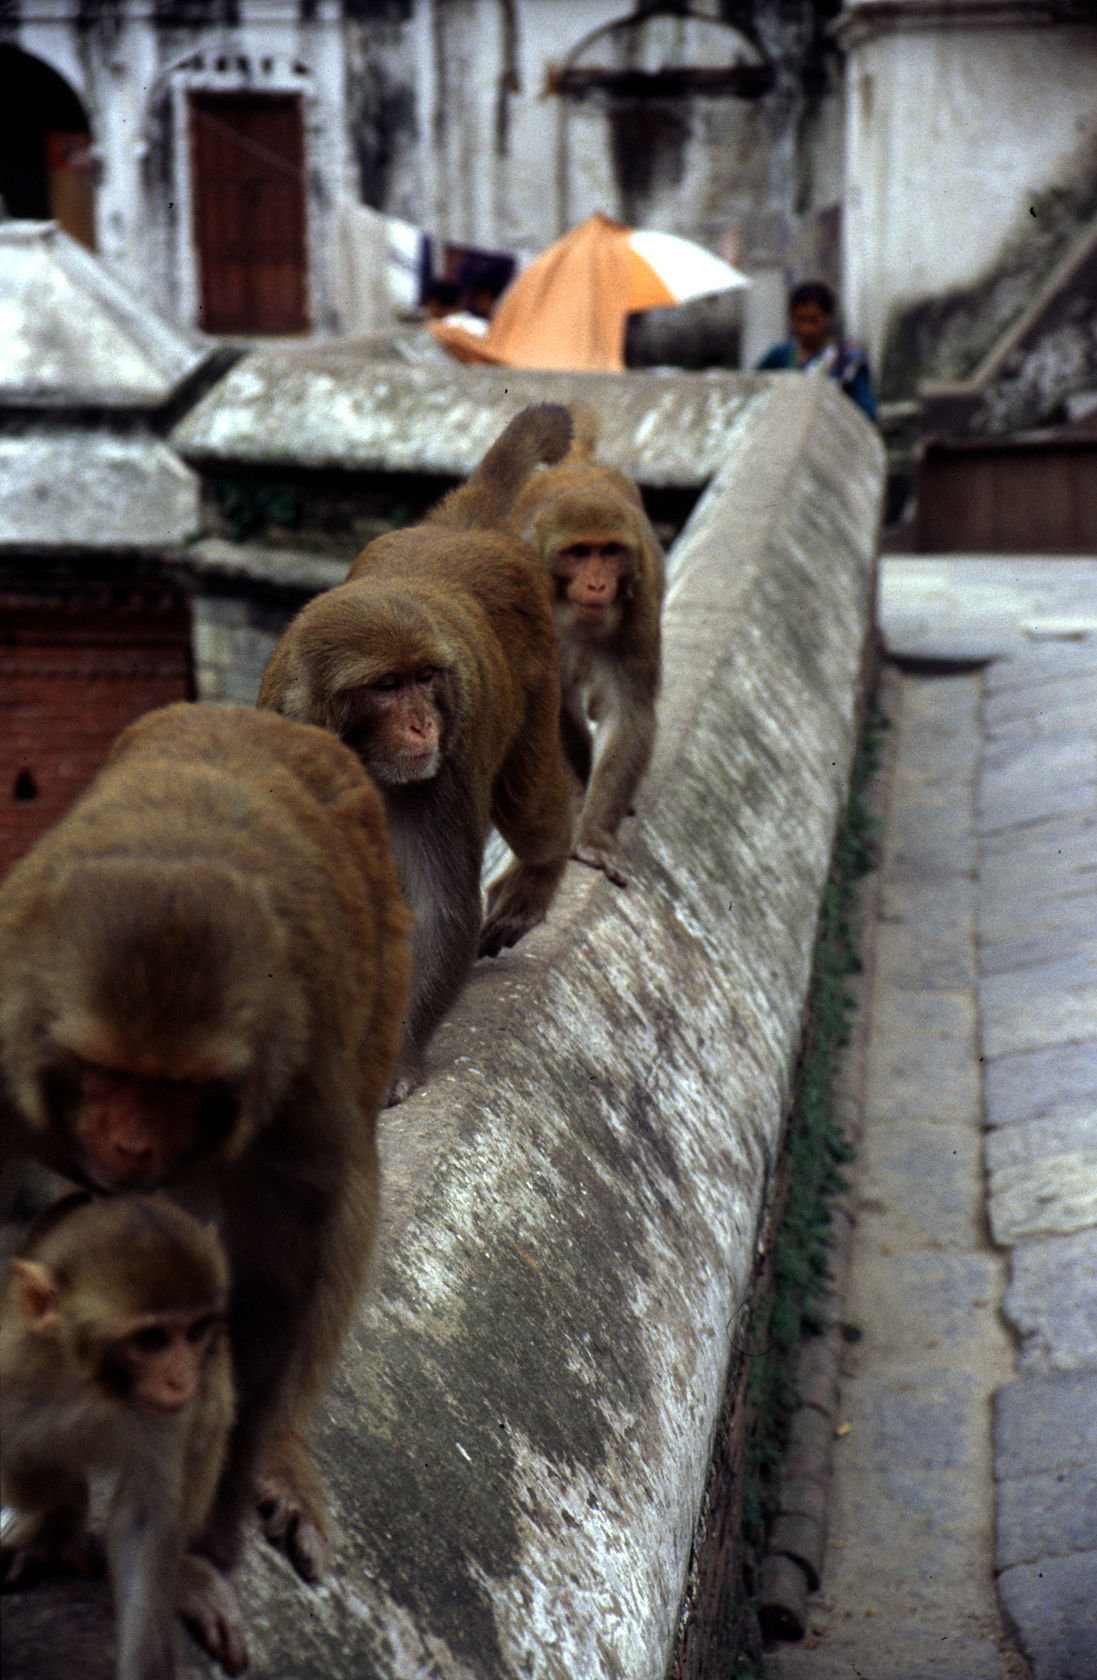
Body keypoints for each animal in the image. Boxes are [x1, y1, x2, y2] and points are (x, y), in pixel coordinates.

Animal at [1, 1189, 245, 1673]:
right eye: (151, 1340)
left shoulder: (170, 1417)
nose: (182, 1379)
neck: (93, 1386)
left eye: (196, 1331)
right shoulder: (9, 1370)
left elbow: (142, 1523)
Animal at [260, 398, 577, 1095]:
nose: (422, 726)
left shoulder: (446, 771)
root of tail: (459, 529)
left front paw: (389, 1062)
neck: (361, 759)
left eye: (426, 678)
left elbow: (436, 909)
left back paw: (539, 873)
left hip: (536, 681)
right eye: (386, 686)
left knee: (527, 804)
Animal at [510, 401, 661, 893]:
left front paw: (594, 834)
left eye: (609, 552)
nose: (596, 584)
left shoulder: (640, 604)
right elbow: (547, 705)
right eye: (579, 553)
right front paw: (577, 793)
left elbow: (629, 710)